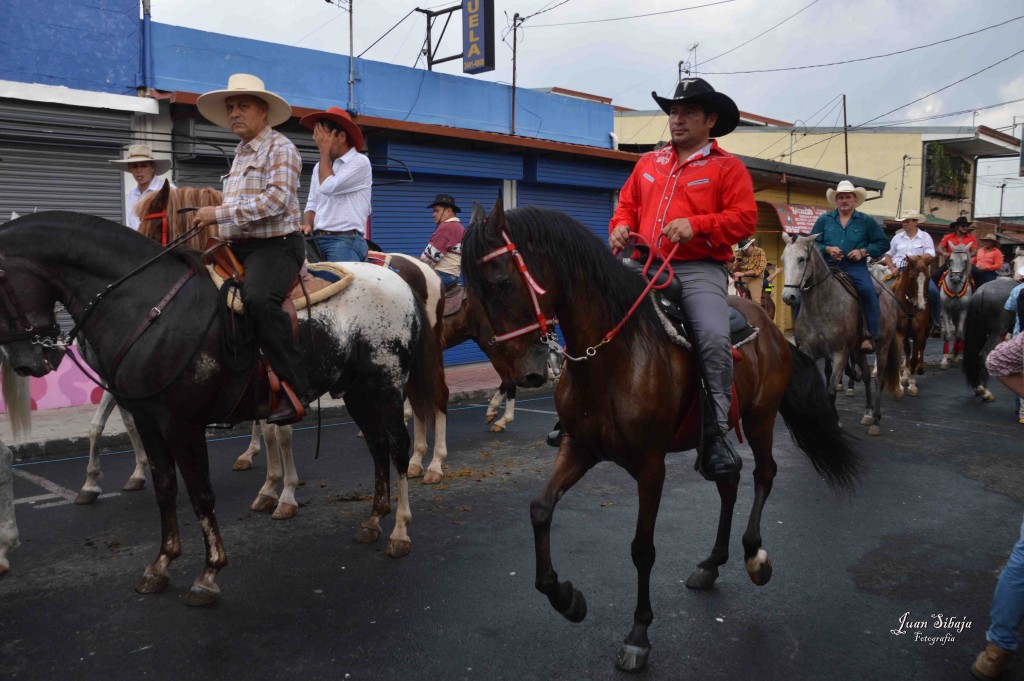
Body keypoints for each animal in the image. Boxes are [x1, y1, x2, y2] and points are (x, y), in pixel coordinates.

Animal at [0, 210, 438, 602]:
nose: (27, 361)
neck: (147, 307)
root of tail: (399, 278)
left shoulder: (182, 423)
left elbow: (200, 493)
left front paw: (209, 572)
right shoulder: (148, 418)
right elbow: (165, 487)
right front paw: (161, 563)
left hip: (385, 383)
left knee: (398, 448)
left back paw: (400, 529)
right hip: (356, 390)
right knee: (377, 446)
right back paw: (374, 519)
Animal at [460, 199, 860, 671]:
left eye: (502, 283)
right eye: (470, 293)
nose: (524, 375)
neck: (613, 356)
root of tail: (774, 328)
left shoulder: (650, 466)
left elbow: (642, 549)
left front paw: (638, 635)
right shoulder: (579, 447)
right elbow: (540, 509)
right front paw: (567, 599)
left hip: (761, 420)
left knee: (763, 474)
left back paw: (754, 556)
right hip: (716, 438)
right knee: (728, 480)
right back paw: (712, 562)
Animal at [778, 236, 901, 432]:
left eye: (802, 259)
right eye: (783, 259)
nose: (788, 296)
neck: (821, 306)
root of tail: (889, 294)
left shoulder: (840, 353)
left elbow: (831, 389)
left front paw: (834, 420)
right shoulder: (808, 351)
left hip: (882, 347)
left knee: (878, 380)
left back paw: (875, 420)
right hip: (859, 350)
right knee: (866, 376)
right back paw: (867, 412)